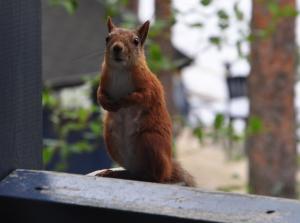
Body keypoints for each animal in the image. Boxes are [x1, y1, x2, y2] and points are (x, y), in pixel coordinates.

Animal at [95, 17, 195, 186]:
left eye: (136, 41)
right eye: (107, 38)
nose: (117, 47)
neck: (120, 70)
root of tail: (168, 167)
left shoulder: (149, 86)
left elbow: (142, 97)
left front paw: (123, 101)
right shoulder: (104, 81)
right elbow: (99, 94)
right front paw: (105, 103)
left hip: (150, 140)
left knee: (156, 177)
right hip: (111, 140)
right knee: (136, 173)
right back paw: (116, 173)